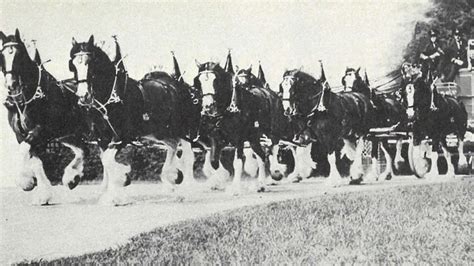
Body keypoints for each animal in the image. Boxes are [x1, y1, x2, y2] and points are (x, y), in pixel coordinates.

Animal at [0, 29, 87, 204]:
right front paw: (43, 194)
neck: (25, 99)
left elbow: (24, 151)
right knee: (83, 149)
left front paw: (25, 181)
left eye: (19, 54)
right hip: (67, 134)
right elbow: (35, 161)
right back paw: (72, 178)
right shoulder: (21, 134)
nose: (11, 84)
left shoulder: (41, 131)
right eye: (2, 55)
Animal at [68, 36, 198, 204]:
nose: (83, 96)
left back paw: (187, 191)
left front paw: (121, 181)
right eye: (73, 65)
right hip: (159, 132)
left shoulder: (121, 137)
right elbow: (104, 161)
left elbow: (108, 161)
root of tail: (177, 84)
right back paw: (170, 180)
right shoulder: (102, 138)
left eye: (91, 63)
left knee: (188, 155)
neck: (112, 96)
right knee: (173, 145)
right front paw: (109, 194)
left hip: (182, 129)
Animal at [193, 60, 288, 193]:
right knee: (261, 156)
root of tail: (271, 94)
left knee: (274, 147)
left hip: (273, 131)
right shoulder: (215, 137)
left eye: (215, 80)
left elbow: (238, 161)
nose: (208, 106)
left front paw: (235, 187)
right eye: (199, 81)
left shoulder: (239, 138)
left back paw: (275, 172)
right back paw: (261, 184)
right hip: (254, 138)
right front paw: (220, 180)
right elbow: (214, 161)